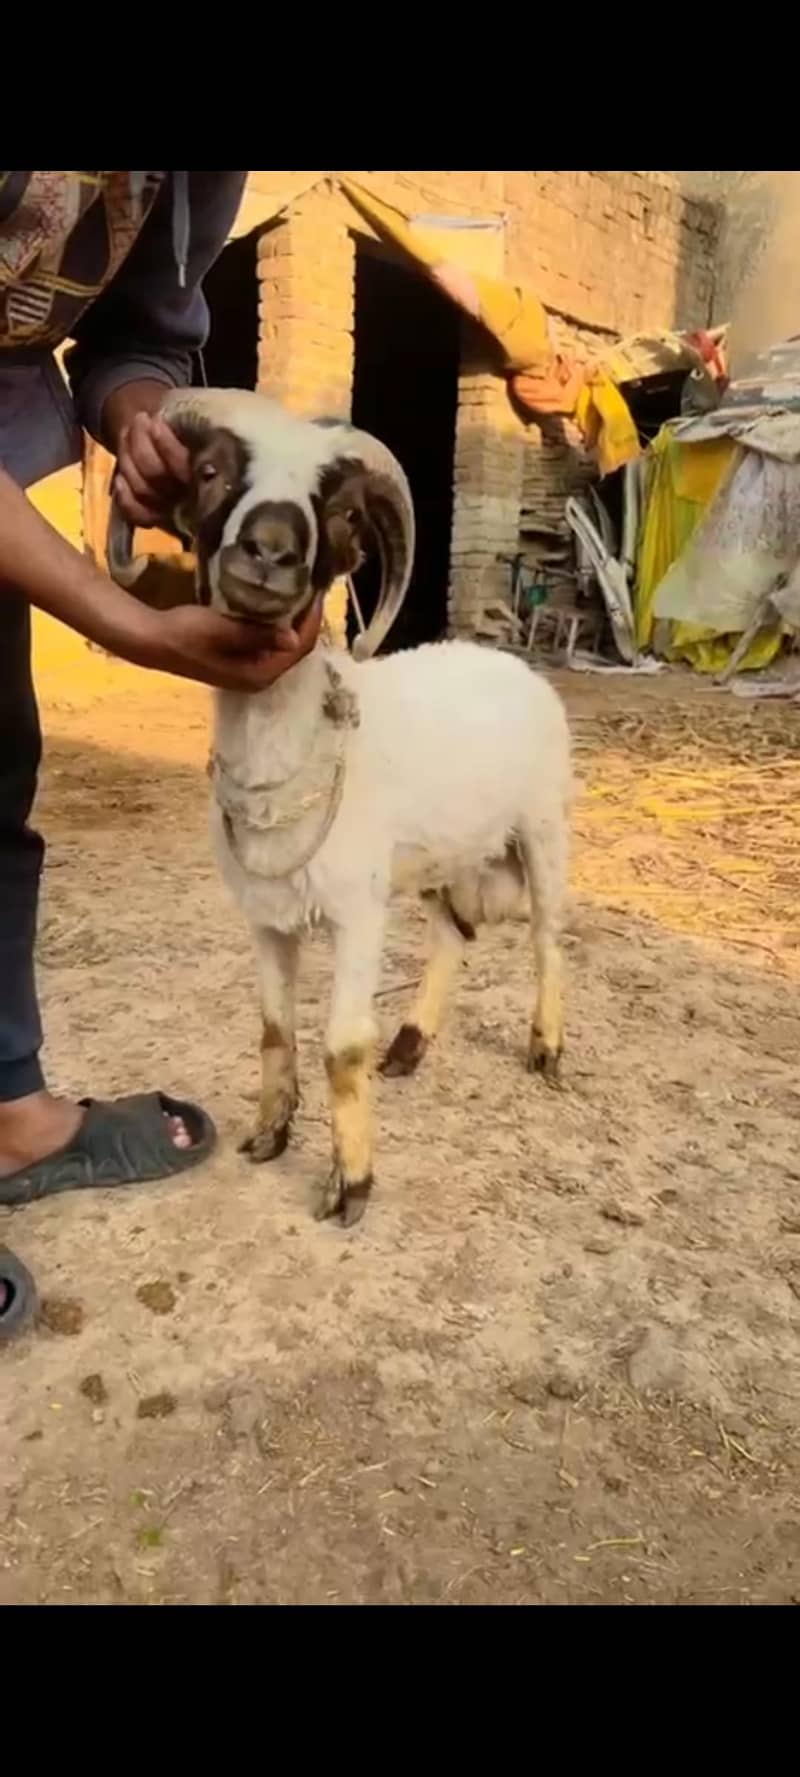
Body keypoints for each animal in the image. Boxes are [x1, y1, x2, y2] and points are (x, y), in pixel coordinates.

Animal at [108, 388, 572, 1227]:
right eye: (210, 471)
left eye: (345, 512)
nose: (268, 549)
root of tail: (508, 660)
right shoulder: (265, 917)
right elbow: (273, 1028)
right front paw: (268, 1135)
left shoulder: (357, 912)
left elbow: (340, 1046)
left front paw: (350, 1184)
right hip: (441, 856)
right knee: (452, 935)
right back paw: (411, 1044)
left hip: (546, 827)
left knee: (549, 939)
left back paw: (546, 1048)